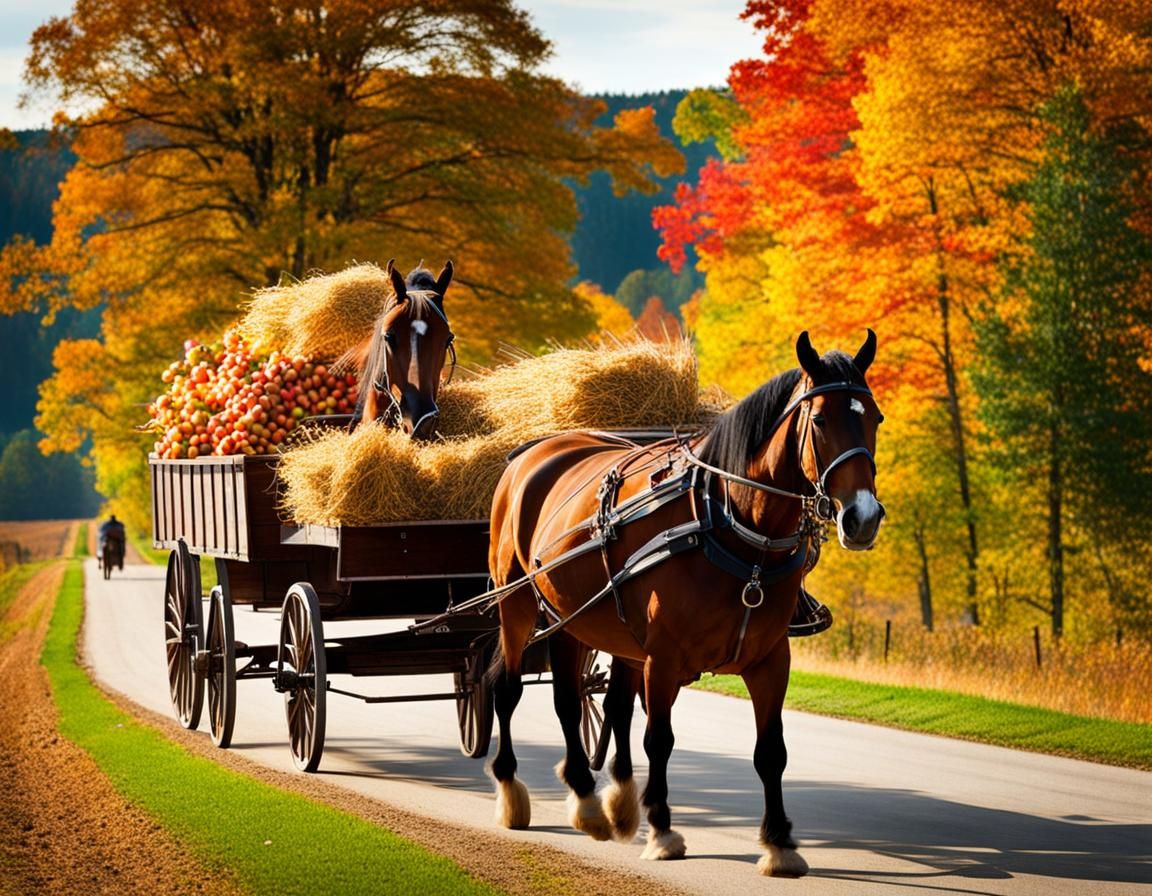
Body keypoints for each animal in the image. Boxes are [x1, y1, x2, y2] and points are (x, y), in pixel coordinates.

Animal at [486, 330, 885, 877]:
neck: (731, 526)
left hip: (575, 619)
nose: (863, 517)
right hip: (518, 604)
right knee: (508, 690)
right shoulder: (665, 658)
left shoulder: (770, 659)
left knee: (576, 700)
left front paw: (779, 842)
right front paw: (662, 830)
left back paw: (594, 801)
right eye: (821, 419)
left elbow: (771, 751)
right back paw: (513, 793)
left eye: (875, 417)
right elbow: (660, 739)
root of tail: (533, 451)